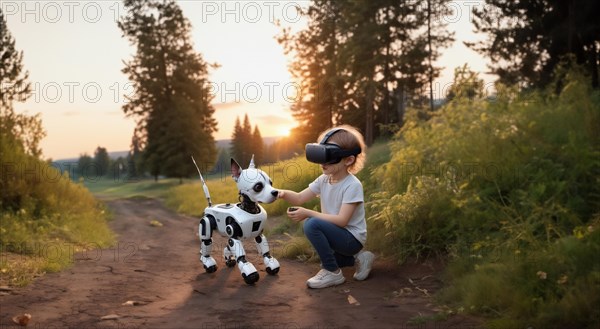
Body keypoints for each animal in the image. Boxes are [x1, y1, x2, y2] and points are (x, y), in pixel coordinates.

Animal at [193, 155, 282, 284]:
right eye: (258, 186)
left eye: (271, 182)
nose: (275, 192)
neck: (250, 209)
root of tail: (210, 206)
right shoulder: (233, 232)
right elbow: (237, 250)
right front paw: (249, 273)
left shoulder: (258, 233)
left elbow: (263, 247)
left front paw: (271, 264)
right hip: (208, 220)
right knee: (207, 240)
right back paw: (208, 262)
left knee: (227, 246)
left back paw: (229, 258)